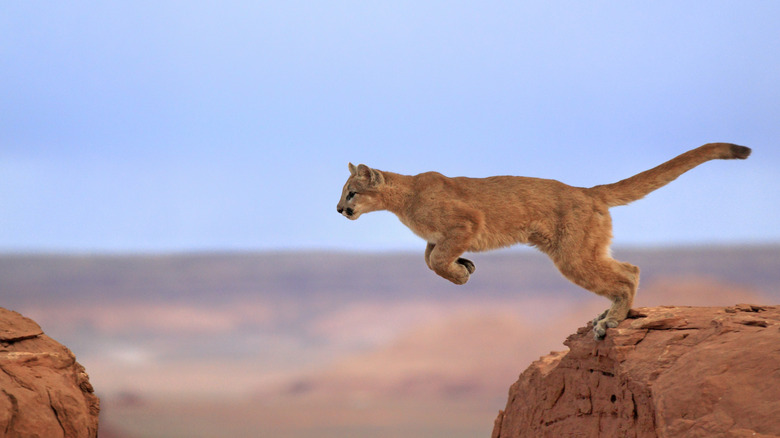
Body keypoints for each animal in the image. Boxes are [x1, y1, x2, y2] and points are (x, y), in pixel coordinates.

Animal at [336, 144, 748, 338]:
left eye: (352, 192)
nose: (339, 209)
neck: (403, 198)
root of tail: (588, 191)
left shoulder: (468, 222)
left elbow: (436, 260)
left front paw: (461, 273)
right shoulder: (440, 237)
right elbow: (429, 257)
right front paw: (465, 265)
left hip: (573, 256)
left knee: (626, 275)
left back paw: (611, 321)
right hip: (586, 249)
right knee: (629, 266)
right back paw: (608, 315)